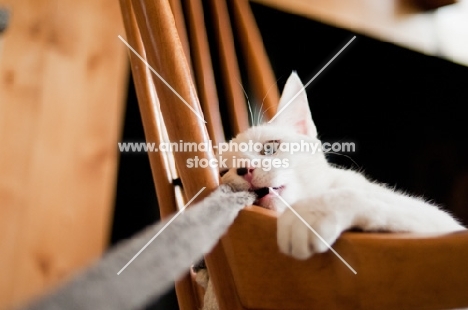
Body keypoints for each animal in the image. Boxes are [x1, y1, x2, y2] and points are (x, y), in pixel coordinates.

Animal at [222, 71, 464, 260]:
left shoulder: (443, 225)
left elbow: (353, 195)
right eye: (224, 171)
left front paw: (311, 213)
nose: (245, 169)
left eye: (270, 149)